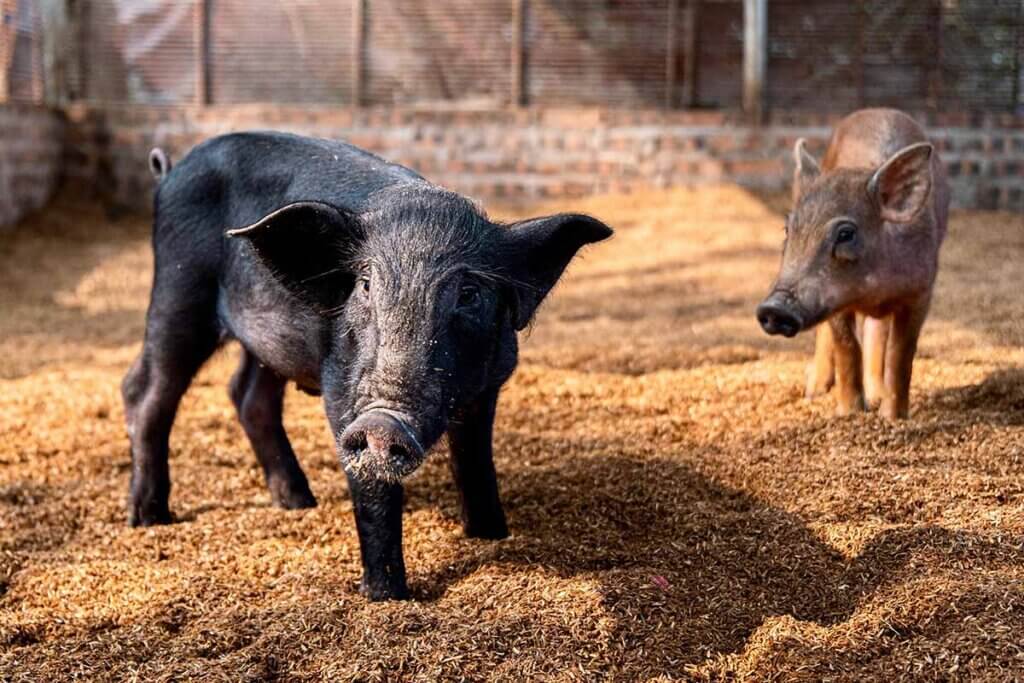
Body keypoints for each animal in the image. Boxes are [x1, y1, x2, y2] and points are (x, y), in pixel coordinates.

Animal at [123, 132, 610, 598]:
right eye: (365, 285)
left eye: (469, 294)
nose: (382, 422)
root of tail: (170, 171)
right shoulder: (342, 384)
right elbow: (373, 492)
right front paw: (386, 596)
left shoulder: (488, 384)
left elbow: (475, 462)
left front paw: (491, 535)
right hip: (178, 288)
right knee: (145, 390)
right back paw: (149, 518)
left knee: (246, 396)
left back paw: (299, 502)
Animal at [753, 107, 950, 419]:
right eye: (787, 229)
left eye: (846, 233)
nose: (774, 308)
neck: (872, 291)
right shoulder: (836, 301)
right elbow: (846, 344)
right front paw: (849, 413)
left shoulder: (921, 292)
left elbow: (900, 352)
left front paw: (892, 417)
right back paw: (814, 391)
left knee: (876, 332)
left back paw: (876, 396)